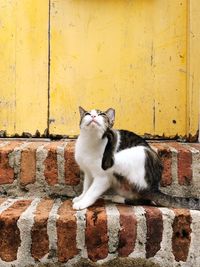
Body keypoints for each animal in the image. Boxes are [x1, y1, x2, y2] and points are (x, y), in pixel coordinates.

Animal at [72, 107, 200, 211]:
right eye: (87, 114)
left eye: (101, 114)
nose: (93, 116)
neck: (90, 141)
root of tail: (154, 187)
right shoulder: (88, 172)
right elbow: (86, 187)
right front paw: (80, 197)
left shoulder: (103, 178)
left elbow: (92, 191)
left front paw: (82, 203)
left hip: (138, 153)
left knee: (145, 199)